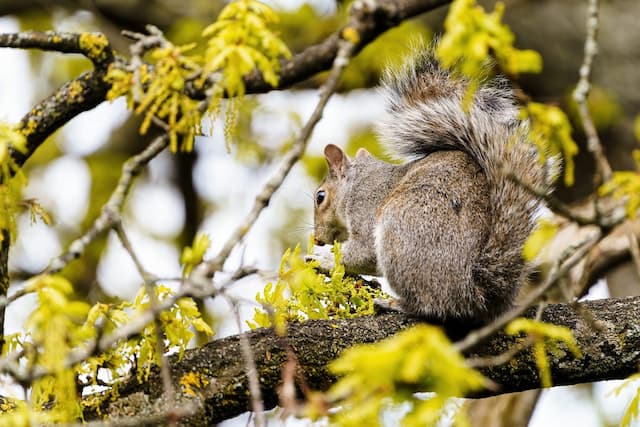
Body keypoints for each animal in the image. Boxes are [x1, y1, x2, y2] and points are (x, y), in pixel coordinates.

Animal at [310, 48, 552, 322]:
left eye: (320, 197)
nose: (317, 238)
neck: (356, 182)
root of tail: (473, 289)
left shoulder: (365, 205)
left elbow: (363, 253)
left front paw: (322, 258)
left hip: (402, 228)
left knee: (431, 304)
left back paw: (396, 304)